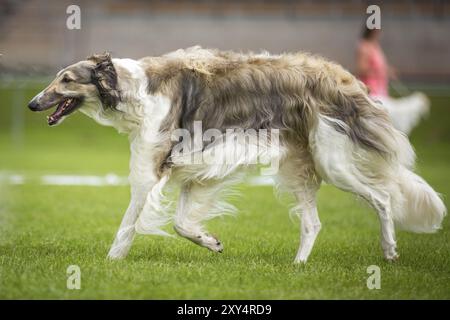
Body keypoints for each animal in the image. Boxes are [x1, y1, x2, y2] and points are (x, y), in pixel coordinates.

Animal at [29, 47, 446, 262]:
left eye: (66, 79)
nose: (33, 103)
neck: (133, 88)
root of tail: (345, 79)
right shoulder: (194, 170)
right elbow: (182, 224)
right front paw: (210, 241)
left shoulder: (150, 172)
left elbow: (128, 226)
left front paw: (110, 266)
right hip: (299, 167)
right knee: (313, 224)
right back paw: (298, 267)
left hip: (333, 163)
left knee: (383, 197)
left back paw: (389, 250)